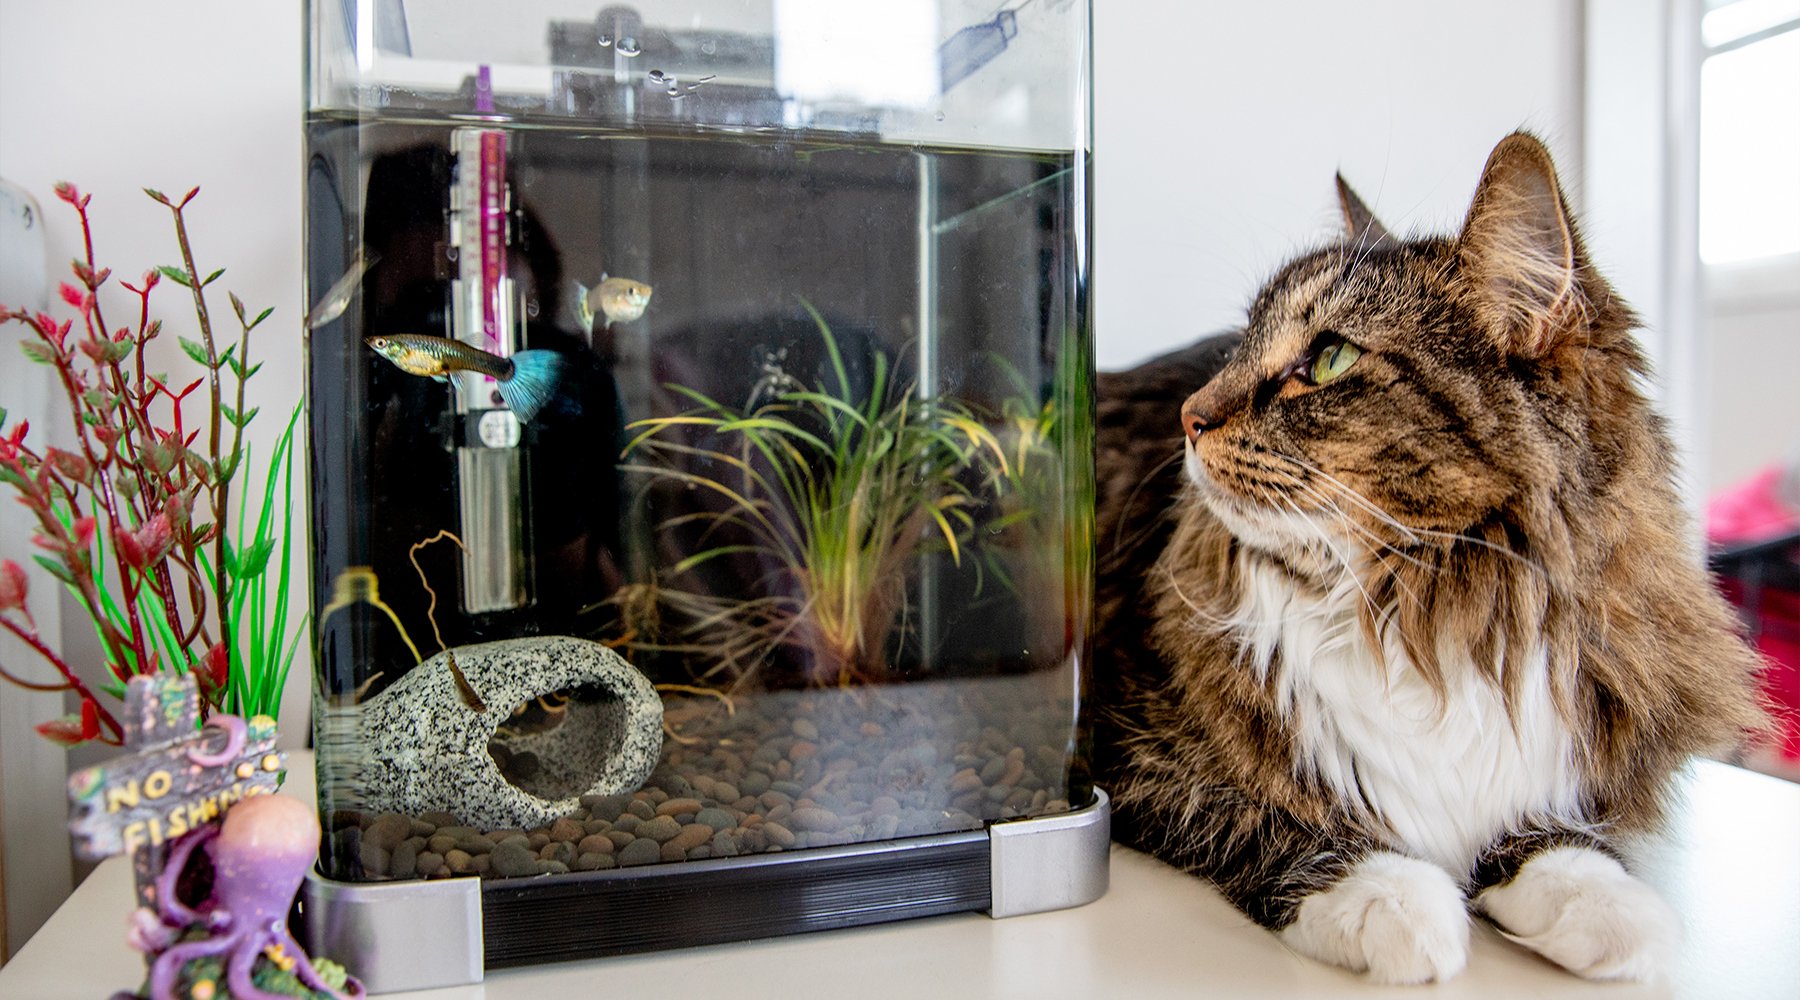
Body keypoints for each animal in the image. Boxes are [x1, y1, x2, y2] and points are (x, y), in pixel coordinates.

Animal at [1087, 133, 1764, 985]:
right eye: (1238, 348)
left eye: (1331, 358)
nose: (1190, 416)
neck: (1420, 606)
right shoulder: (1118, 736)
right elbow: (1250, 807)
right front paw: (1388, 896)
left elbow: (1551, 829)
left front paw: (1600, 901)